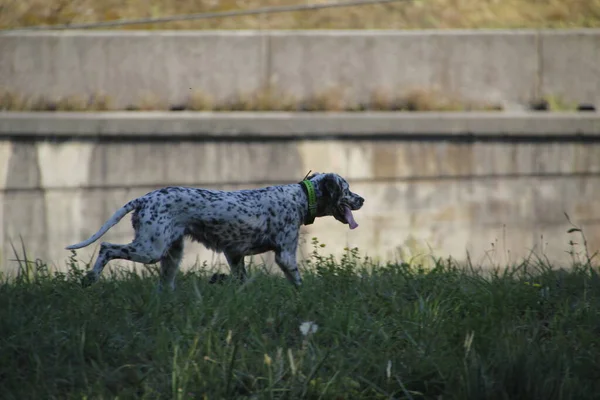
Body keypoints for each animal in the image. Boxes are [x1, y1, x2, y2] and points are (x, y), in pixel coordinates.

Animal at [66, 172, 366, 290]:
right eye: (347, 189)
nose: (362, 199)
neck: (301, 198)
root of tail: (144, 198)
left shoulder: (235, 256)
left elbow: (241, 280)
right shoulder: (285, 255)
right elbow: (298, 282)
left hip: (171, 254)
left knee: (164, 285)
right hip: (150, 249)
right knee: (107, 248)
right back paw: (89, 278)